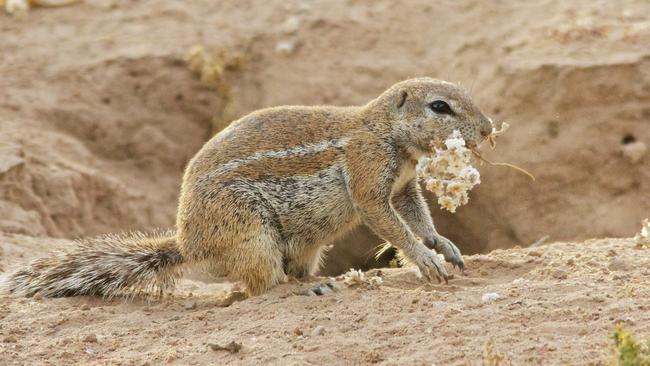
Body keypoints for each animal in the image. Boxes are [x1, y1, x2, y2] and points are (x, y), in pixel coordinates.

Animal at [3, 77, 492, 298]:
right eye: (440, 107)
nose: (488, 129)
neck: (385, 131)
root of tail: (188, 244)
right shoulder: (368, 175)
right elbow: (389, 222)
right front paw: (426, 261)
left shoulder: (404, 186)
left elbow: (416, 215)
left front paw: (443, 245)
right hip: (250, 233)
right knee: (260, 286)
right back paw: (305, 289)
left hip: (302, 245)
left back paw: (315, 280)